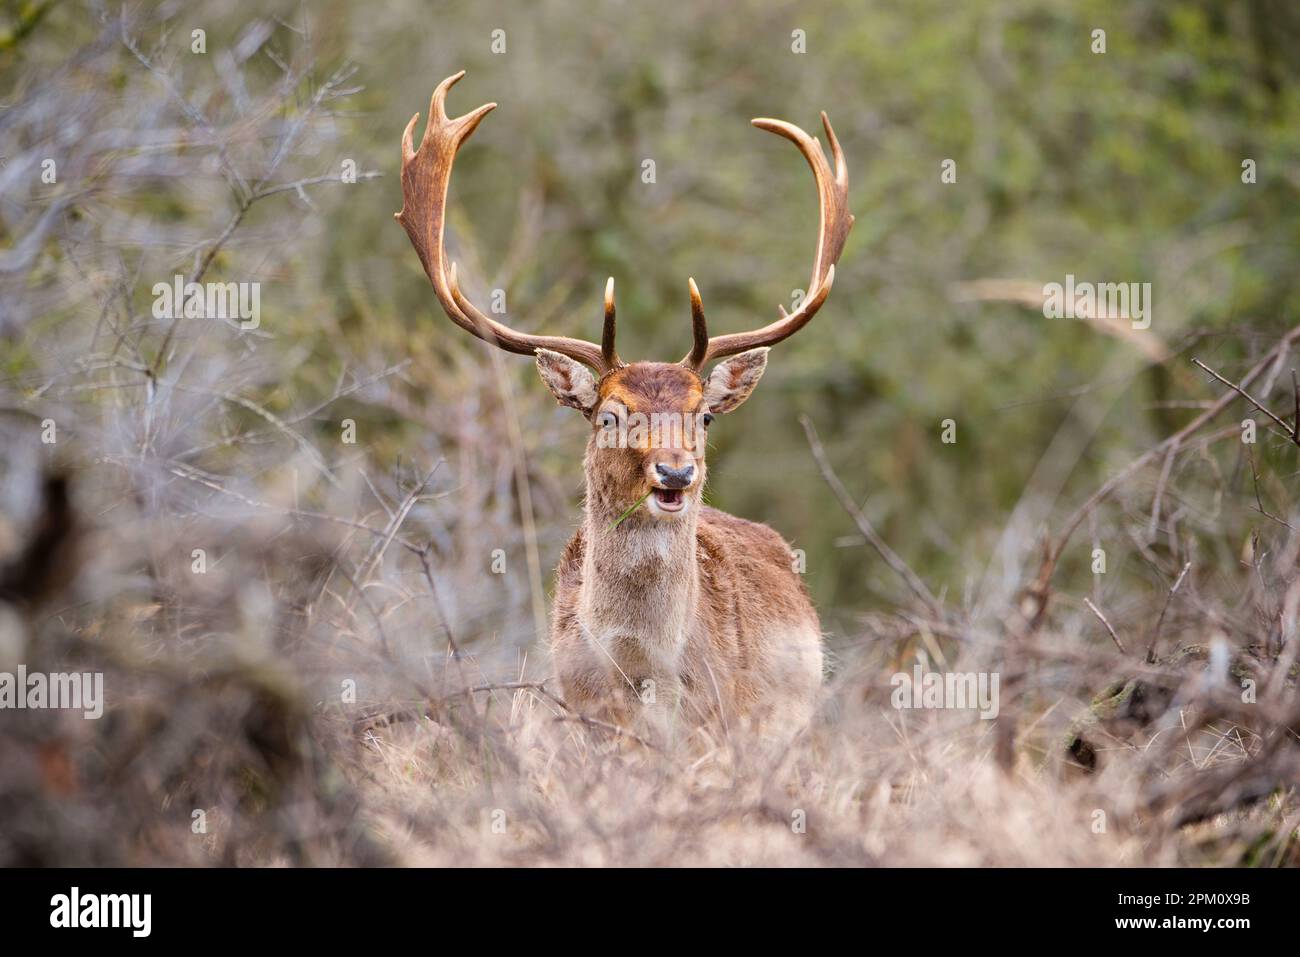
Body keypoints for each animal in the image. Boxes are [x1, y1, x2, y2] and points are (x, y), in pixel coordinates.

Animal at [396, 72, 853, 741]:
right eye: (609, 415)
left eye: (704, 414)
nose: (676, 472)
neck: (641, 671)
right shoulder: (580, 712)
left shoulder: (724, 720)